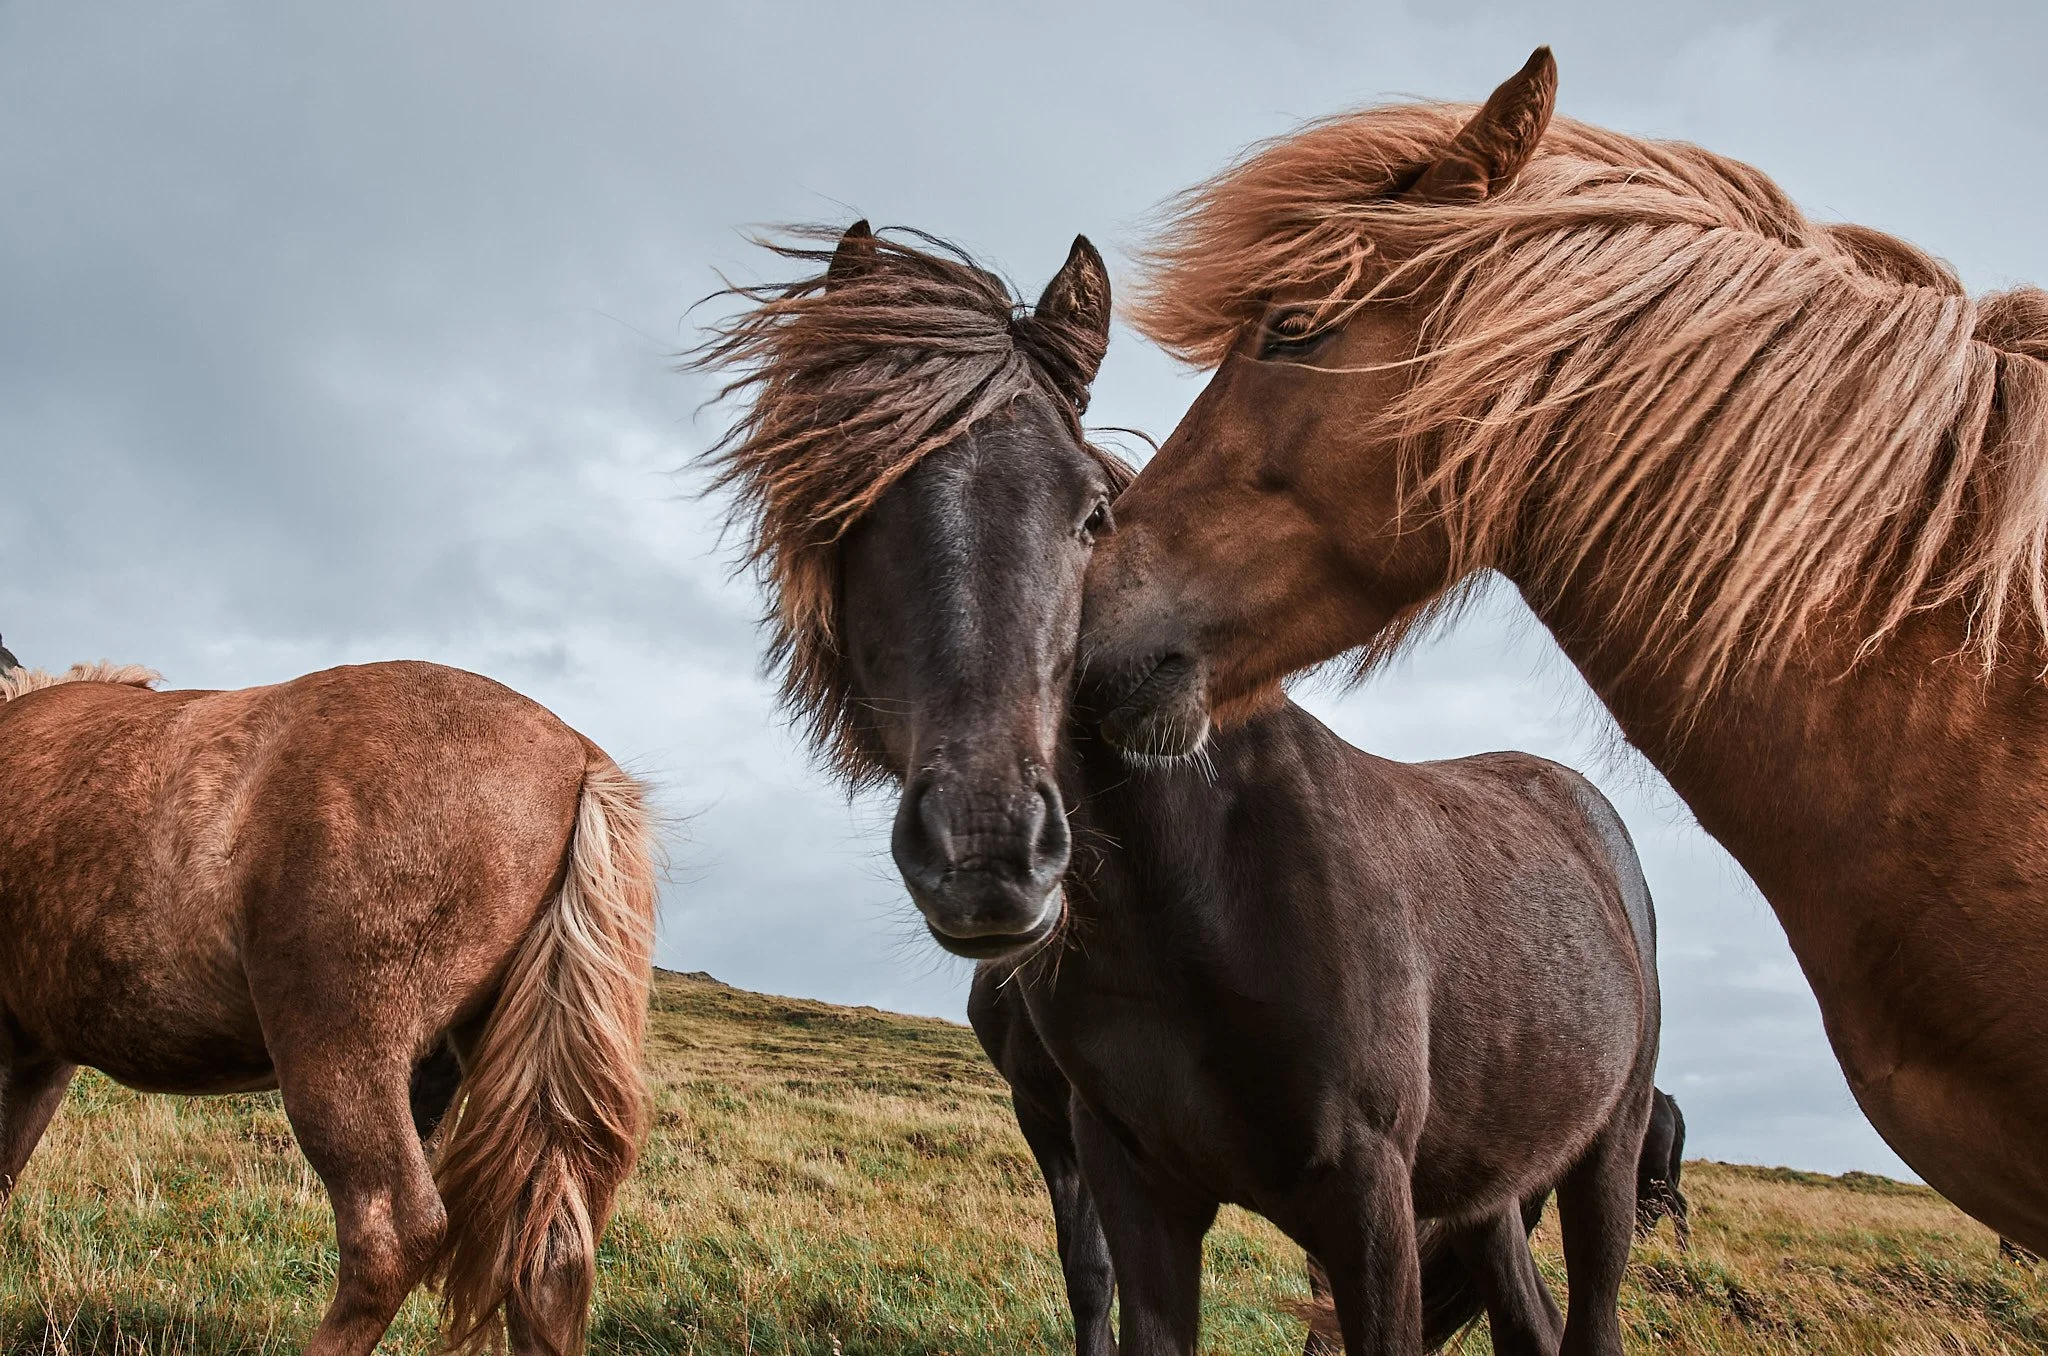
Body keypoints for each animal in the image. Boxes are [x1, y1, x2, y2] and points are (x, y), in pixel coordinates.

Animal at [698, 222, 1660, 1356]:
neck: (1196, 899)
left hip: (1603, 1157)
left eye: (1092, 513)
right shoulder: (1131, 1185)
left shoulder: (1370, 1204)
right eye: (846, 512)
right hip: (1489, 1189)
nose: (987, 847)